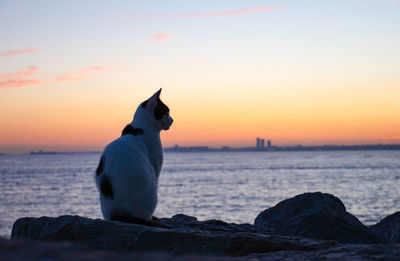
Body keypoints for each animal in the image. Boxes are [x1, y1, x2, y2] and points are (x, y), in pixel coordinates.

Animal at [96, 89, 174, 225]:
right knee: (144, 217)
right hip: (152, 189)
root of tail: (119, 215)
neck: (139, 127)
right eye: (166, 111)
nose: (172, 120)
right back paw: (152, 220)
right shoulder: (155, 166)